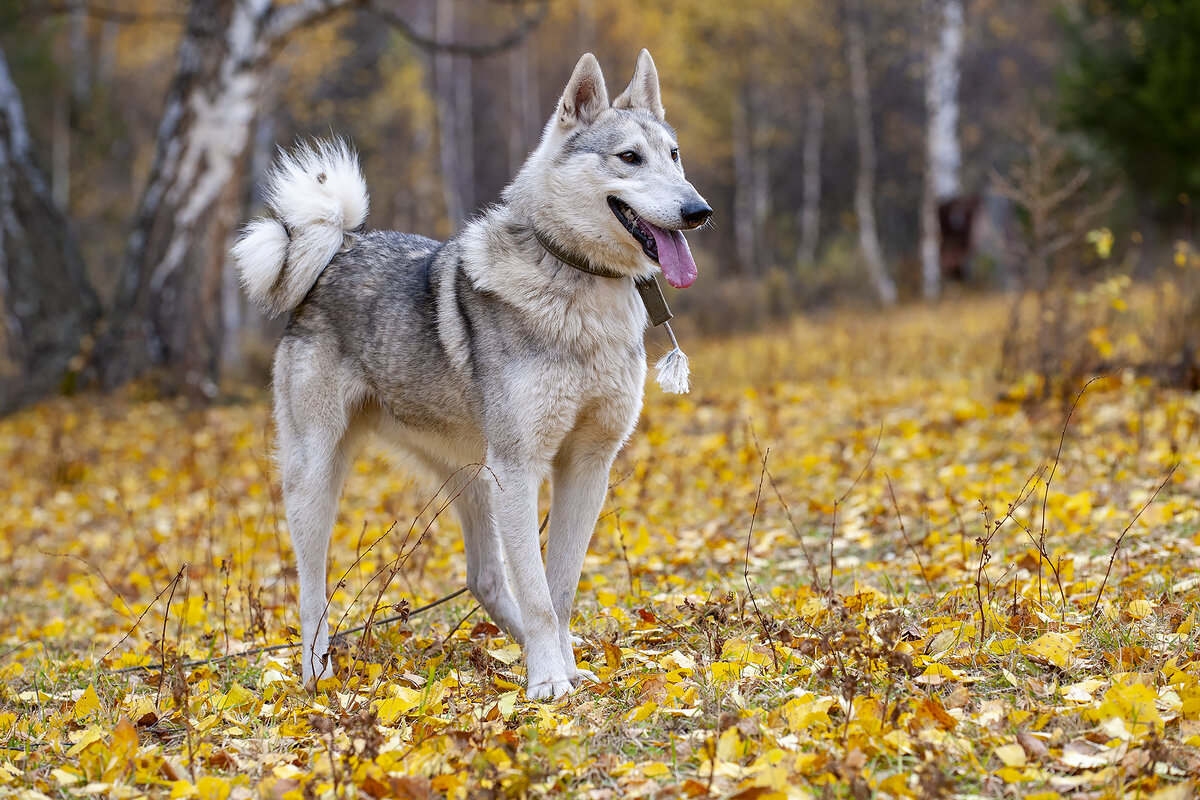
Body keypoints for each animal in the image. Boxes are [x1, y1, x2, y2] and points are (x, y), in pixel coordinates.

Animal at [229, 50, 705, 700]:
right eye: (629, 157)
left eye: (675, 155)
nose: (699, 211)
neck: (578, 285)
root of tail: (338, 248)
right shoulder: (521, 469)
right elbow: (538, 592)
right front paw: (548, 685)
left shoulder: (587, 466)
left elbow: (557, 590)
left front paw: (561, 667)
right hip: (319, 481)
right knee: (310, 593)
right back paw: (319, 678)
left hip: (476, 479)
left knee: (485, 579)